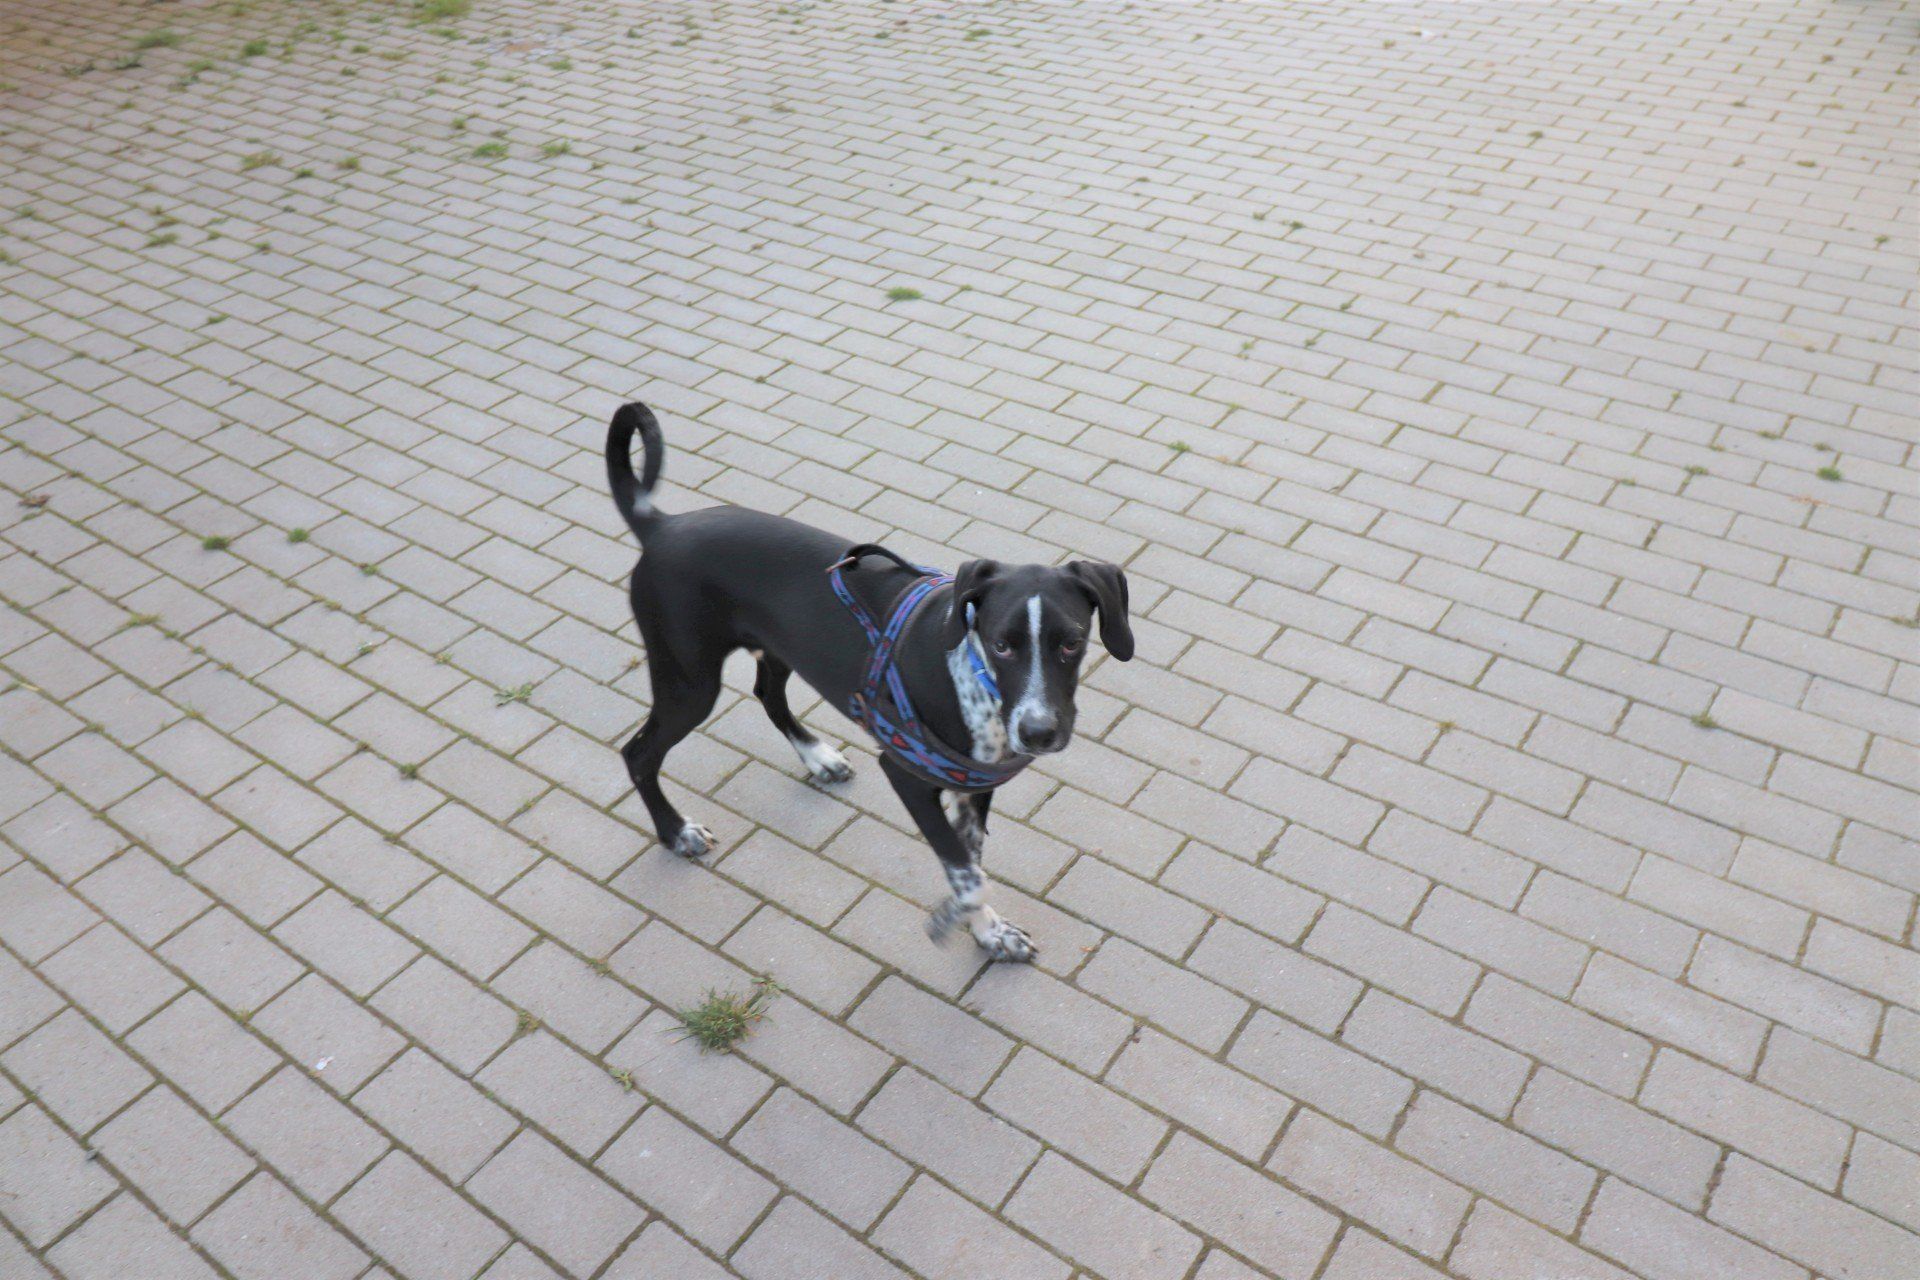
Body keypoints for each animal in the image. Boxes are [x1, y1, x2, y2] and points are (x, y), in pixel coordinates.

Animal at [605, 402, 1133, 961]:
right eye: (1001, 645)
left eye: (1072, 642)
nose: (1038, 733)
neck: (975, 681)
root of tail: (661, 527)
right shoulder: (906, 774)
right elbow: (968, 875)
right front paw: (958, 919)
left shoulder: (974, 783)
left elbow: (971, 863)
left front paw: (988, 931)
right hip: (689, 682)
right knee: (638, 753)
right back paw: (675, 831)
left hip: (781, 647)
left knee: (768, 695)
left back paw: (817, 757)